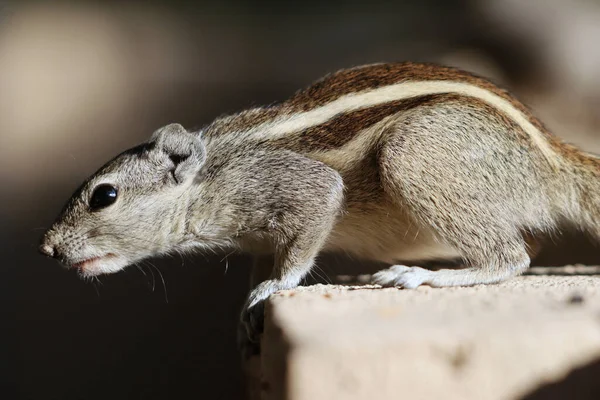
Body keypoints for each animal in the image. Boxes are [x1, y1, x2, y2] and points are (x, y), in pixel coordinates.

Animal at [39, 61, 600, 352]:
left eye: (105, 196)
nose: (47, 247)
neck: (211, 171)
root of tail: (552, 161)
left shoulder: (293, 185)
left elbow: (311, 219)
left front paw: (273, 288)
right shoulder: (261, 237)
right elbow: (269, 257)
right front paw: (244, 322)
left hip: (413, 151)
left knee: (511, 257)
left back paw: (423, 275)